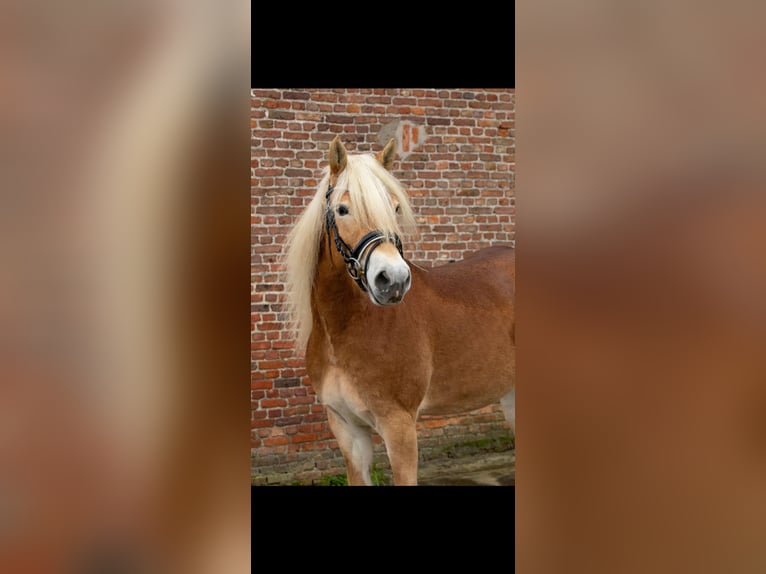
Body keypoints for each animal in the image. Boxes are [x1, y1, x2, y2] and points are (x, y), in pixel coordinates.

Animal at [284, 138, 516, 486]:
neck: (342, 331)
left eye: (395, 207)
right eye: (342, 209)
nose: (393, 280)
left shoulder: (399, 425)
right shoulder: (346, 428)